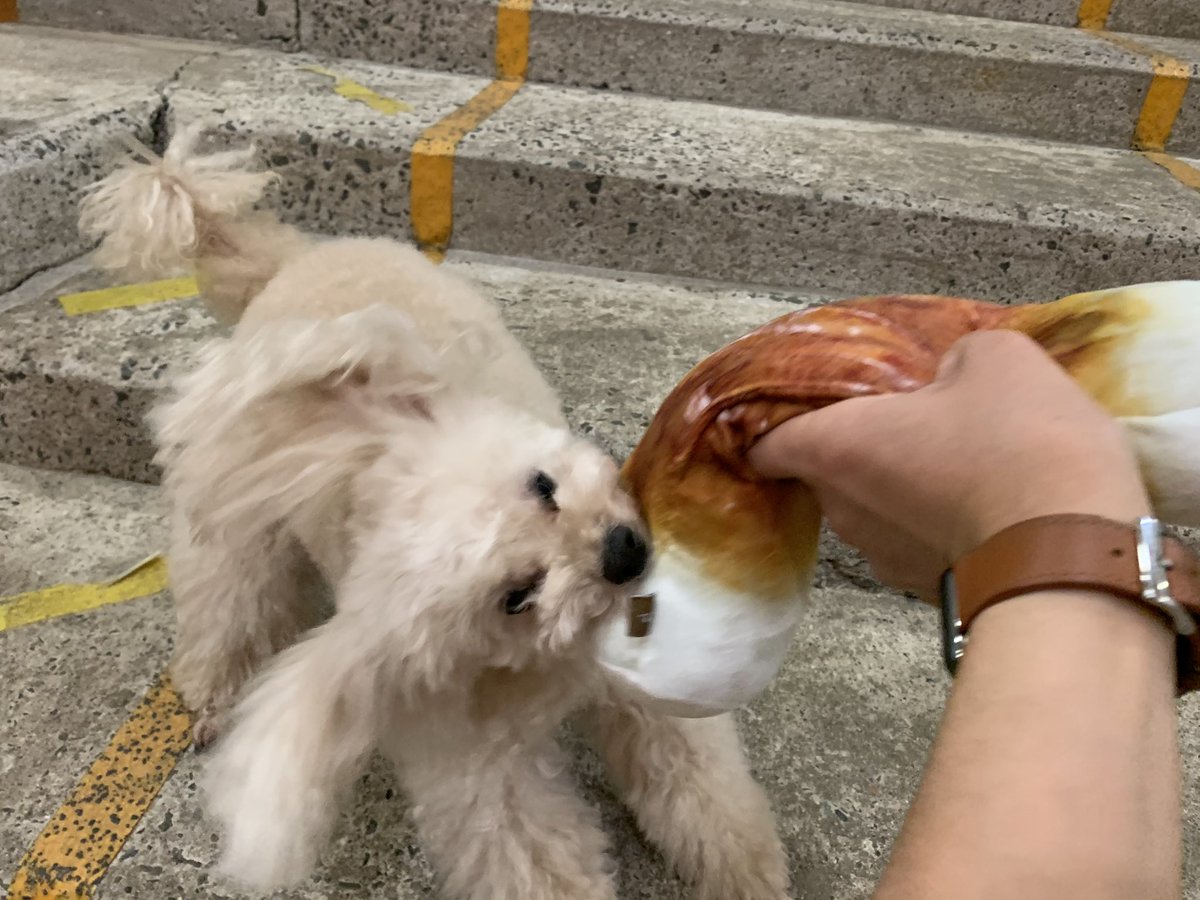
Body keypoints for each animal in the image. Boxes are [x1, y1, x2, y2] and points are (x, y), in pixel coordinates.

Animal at [75, 127, 787, 900]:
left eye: (543, 485)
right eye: (516, 597)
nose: (624, 551)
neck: (551, 669)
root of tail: (288, 266)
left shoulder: (641, 689)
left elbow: (697, 779)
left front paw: (749, 869)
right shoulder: (474, 761)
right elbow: (530, 848)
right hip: (235, 525)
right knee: (229, 599)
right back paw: (214, 691)